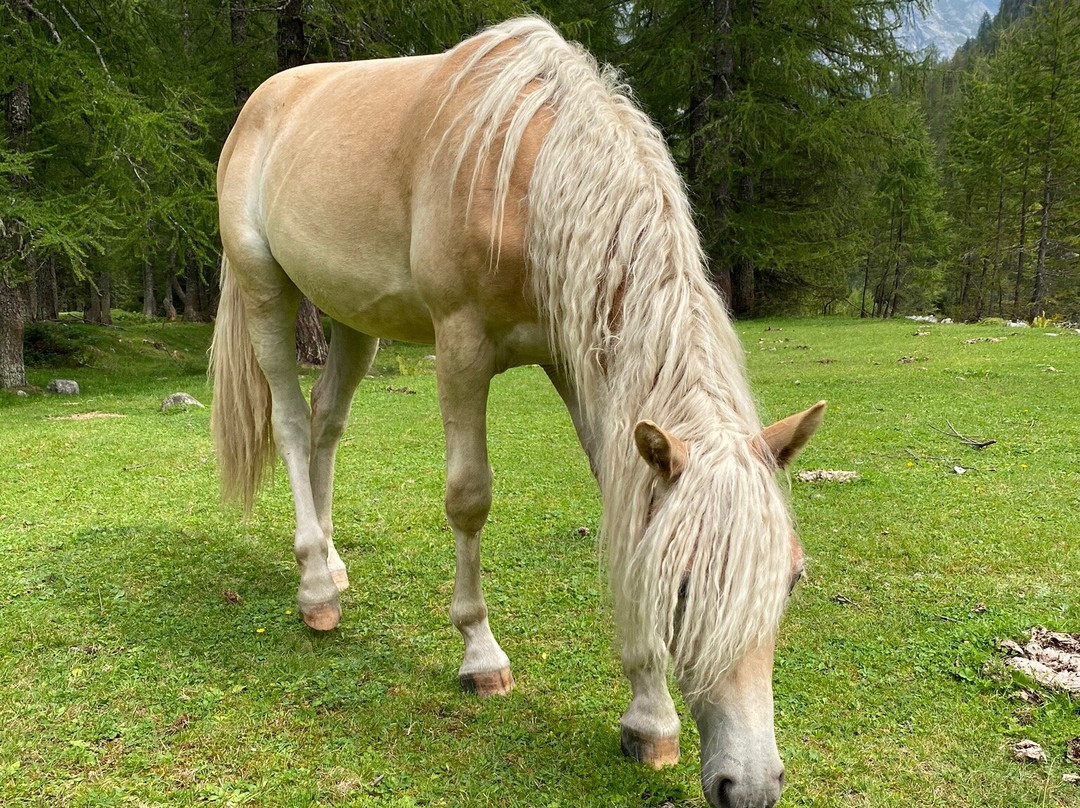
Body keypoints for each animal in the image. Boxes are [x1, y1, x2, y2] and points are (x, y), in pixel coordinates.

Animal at [210, 18, 825, 808]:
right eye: (683, 586)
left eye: (791, 578)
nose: (749, 785)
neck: (532, 175)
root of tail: (264, 100)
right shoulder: (461, 346)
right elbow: (469, 498)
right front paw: (480, 655)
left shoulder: (576, 357)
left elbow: (623, 500)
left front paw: (649, 717)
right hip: (264, 288)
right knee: (290, 423)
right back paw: (316, 589)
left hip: (351, 318)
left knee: (326, 426)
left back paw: (334, 564)